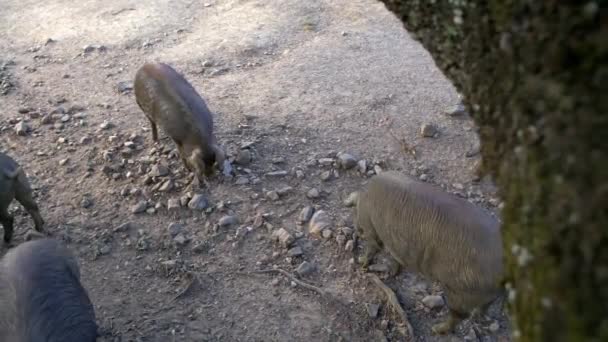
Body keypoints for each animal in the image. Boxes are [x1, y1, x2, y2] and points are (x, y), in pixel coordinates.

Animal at [352, 171, 504, 334]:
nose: (357, 231)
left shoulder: (370, 226)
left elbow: (372, 247)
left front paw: (362, 263)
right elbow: (395, 257)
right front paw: (392, 273)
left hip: (462, 290)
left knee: (458, 315)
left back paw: (436, 329)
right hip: (485, 294)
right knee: (483, 307)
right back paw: (477, 316)